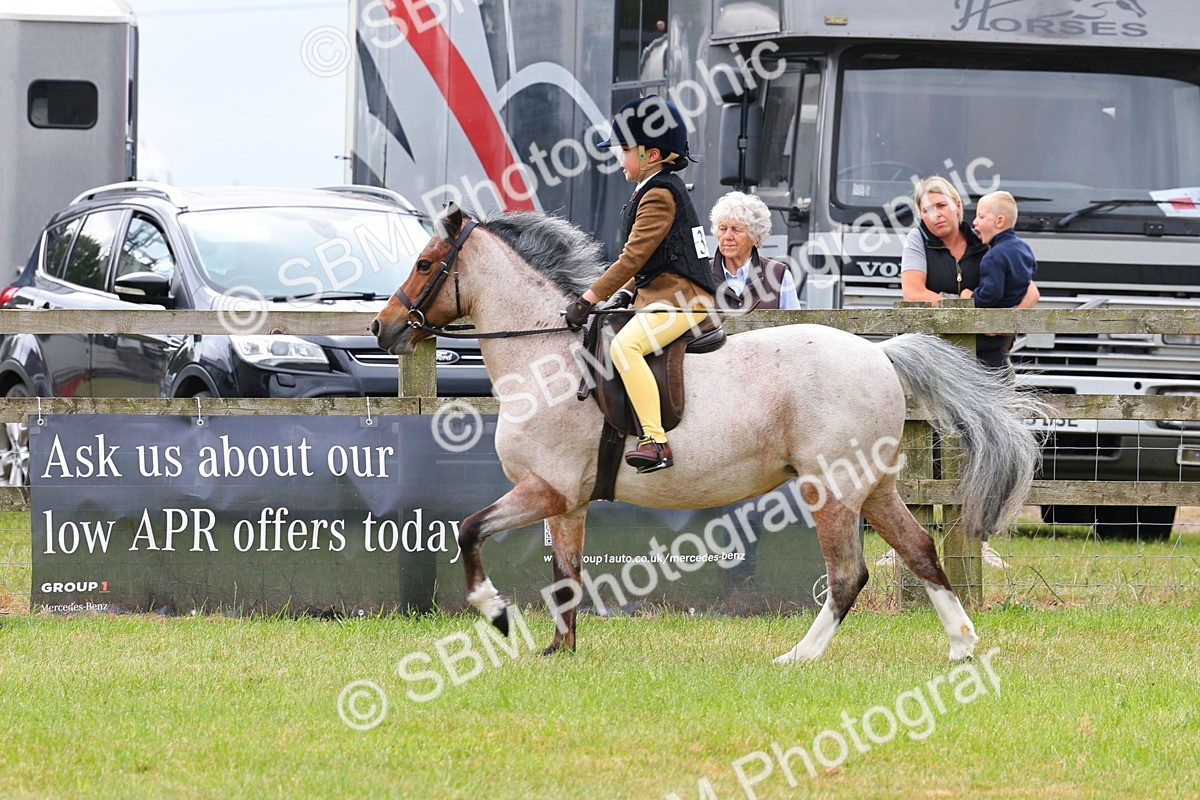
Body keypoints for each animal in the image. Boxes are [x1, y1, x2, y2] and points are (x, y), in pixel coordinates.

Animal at [371, 204, 1042, 662]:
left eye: (424, 263)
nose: (382, 328)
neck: (544, 358)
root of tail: (880, 353)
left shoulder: (546, 489)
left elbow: (469, 530)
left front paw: (497, 615)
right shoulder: (568, 502)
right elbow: (565, 576)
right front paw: (559, 651)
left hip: (830, 488)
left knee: (848, 575)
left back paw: (798, 657)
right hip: (871, 486)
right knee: (920, 549)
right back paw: (961, 644)